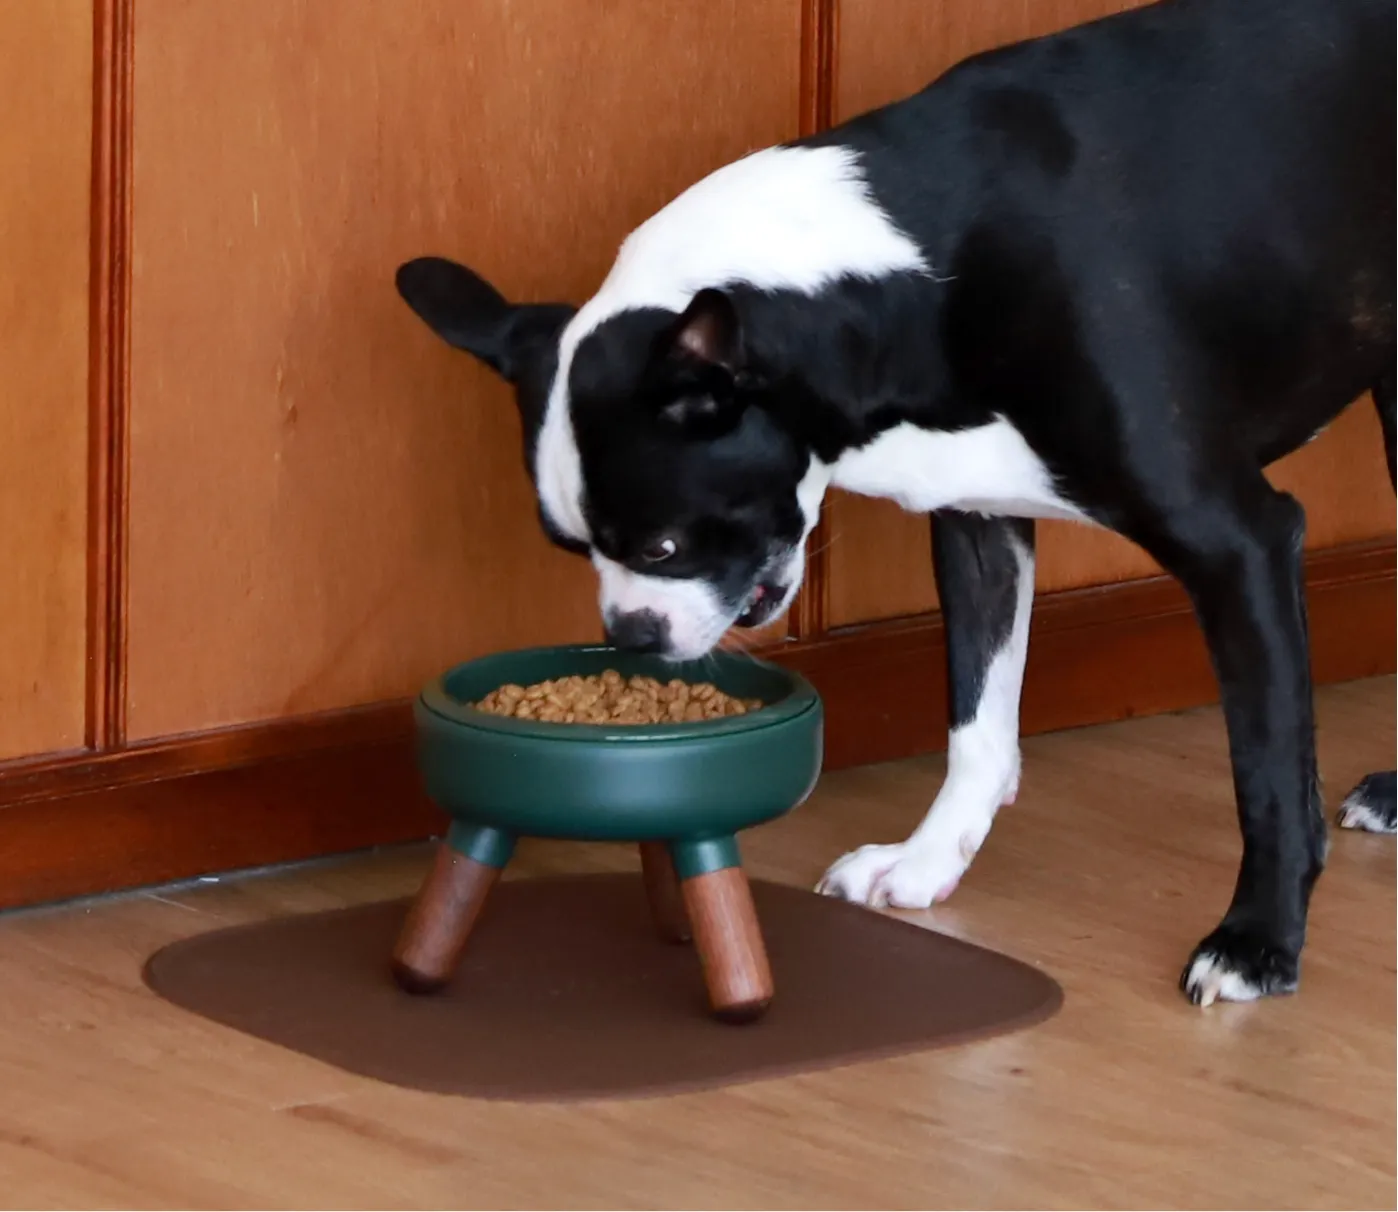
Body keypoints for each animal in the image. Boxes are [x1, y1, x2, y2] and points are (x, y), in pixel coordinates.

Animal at [399, 0, 1392, 1006]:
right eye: (573, 550)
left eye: (664, 547)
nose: (631, 635)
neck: (915, 271)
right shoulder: (979, 528)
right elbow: (977, 726)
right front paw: (928, 862)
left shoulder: (1239, 548)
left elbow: (1266, 767)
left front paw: (1258, 941)